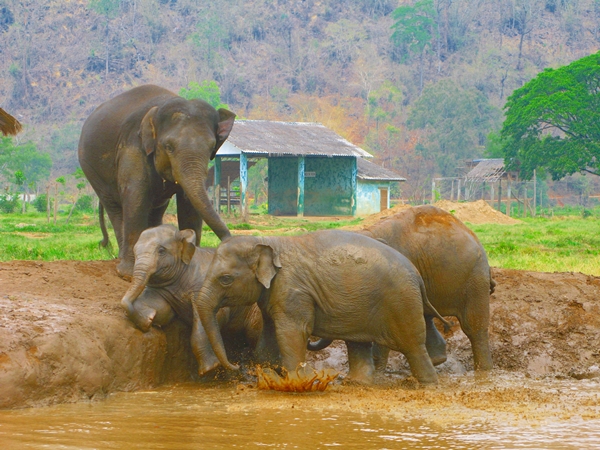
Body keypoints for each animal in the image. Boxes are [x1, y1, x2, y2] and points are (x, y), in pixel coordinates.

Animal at [79, 84, 237, 278]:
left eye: (211, 147)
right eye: (169, 146)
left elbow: (189, 206)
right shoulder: (133, 149)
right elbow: (135, 198)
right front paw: (130, 273)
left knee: (155, 209)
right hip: (92, 170)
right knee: (115, 209)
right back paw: (123, 265)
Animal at [120, 224, 262, 376]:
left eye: (161, 250)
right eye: (134, 251)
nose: (145, 327)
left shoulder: (203, 284)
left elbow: (213, 316)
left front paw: (210, 369)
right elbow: (162, 310)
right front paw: (147, 320)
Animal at [192, 230, 450, 384]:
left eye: (225, 279)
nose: (236, 366)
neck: (268, 241)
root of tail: (416, 274)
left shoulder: (293, 291)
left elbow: (292, 332)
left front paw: (299, 382)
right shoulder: (273, 293)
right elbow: (269, 332)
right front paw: (271, 375)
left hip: (401, 301)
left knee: (413, 346)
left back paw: (428, 385)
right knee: (358, 342)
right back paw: (355, 383)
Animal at [308, 206, 494, 370]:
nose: (310, 341)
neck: (367, 233)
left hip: (474, 276)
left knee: (473, 326)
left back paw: (483, 371)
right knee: (427, 317)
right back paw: (437, 360)